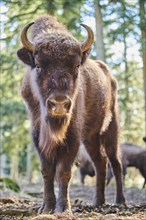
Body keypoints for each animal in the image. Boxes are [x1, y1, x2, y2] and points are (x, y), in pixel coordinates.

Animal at [16, 14, 124, 214]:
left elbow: (63, 171)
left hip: (111, 129)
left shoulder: (73, 135)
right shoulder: (37, 135)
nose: (59, 103)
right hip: (91, 138)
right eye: (38, 65)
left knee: (115, 162)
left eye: (76, 65)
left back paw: (120, 201)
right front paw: (46, 207)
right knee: (100, 162)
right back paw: (97, 201)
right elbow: (47, 171)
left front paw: (63, 208)